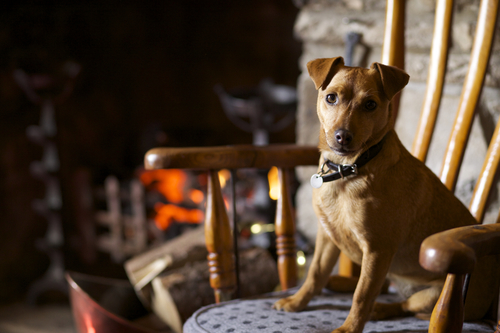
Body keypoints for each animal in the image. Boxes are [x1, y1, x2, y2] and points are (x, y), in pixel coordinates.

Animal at [274, 55, 496, 330]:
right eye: (331, 98)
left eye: (370, 104)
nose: (342, 136)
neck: (349, 171)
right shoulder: (327, 237)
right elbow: (315, 274)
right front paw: (296, 302)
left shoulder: (377, 251)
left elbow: (362, 295)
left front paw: (349, 328)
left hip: (433, 295)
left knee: (402, 304)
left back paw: (379, 309)